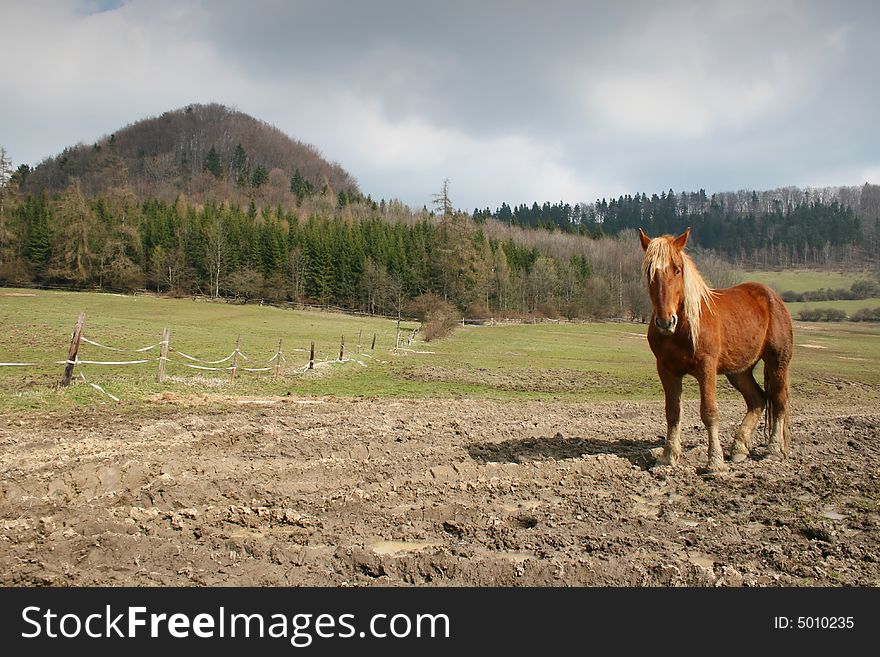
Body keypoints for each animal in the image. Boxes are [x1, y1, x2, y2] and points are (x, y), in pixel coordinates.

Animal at [636, 228, 796, 474]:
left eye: (677, 269)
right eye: (649, 271)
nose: (665, 321)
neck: (683, 327)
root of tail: (773, 298)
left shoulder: (707, 368)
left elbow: (709, 412)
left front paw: (714, 462)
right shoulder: (666, 370)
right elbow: (673, 412)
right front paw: (667, 457)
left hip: (777, 362)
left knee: (779, 401)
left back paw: (774, 450)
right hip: (739, 370)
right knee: (757, 399)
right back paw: (739, 448)